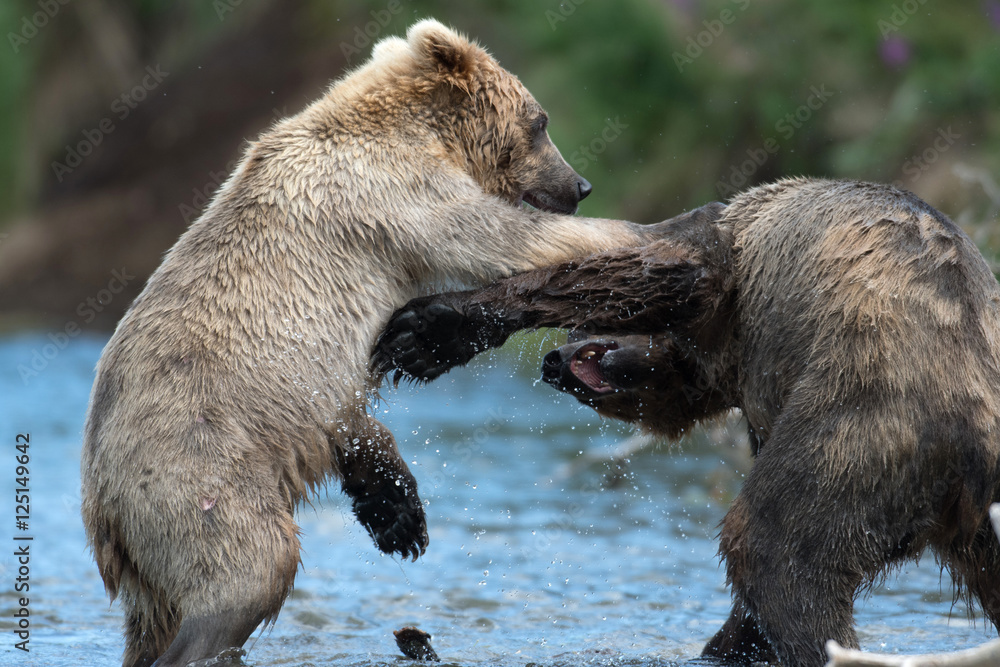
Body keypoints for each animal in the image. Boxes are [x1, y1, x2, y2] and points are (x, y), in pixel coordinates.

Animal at [81, 19, 669, 667]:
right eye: (539, 122)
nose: (580, 185)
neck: (424, 133)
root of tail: (102, 507)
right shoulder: (397, 194)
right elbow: (505, 239)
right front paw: (648, 230)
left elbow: (353, 422)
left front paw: (397, 514)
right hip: (197, 467)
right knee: (248, 570)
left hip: (154, 551)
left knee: (157, 618)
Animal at [373, 178, 1000, 667]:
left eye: (580, 329)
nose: (554, 363)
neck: (730, 354)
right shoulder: (765, 393)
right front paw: (728, 643)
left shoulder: (731, 262)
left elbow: (659, 266)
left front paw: (433, 327)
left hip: (869, 417)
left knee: (774, 543)